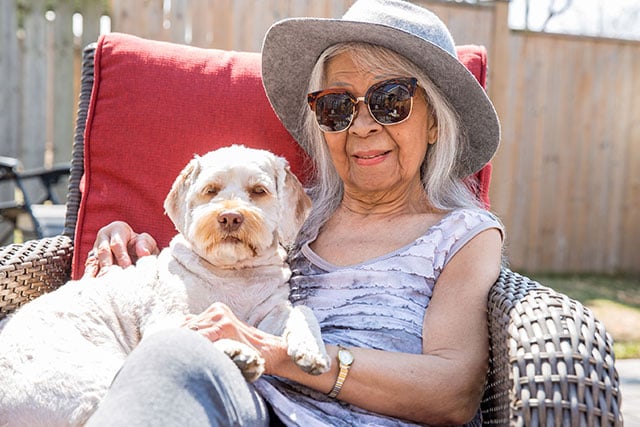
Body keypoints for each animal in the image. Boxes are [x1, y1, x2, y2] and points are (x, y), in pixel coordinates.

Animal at [0, 145, 330, 426]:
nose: (230, 217)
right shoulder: (165, 317)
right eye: (210, 190)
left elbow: (302, 313)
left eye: (258, 191)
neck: (232, 274)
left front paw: (312, 351)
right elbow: (186, 331)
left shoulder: (271, 313)